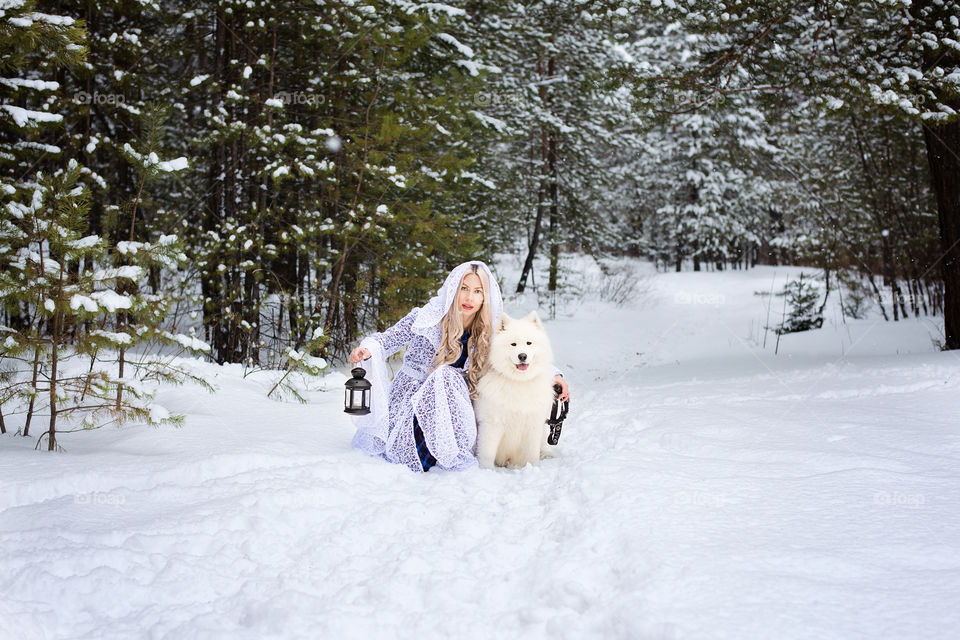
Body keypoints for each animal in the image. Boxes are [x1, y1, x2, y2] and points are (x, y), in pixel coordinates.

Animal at [472, 312, 556, 470]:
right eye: (513, 344)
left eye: (529, 343)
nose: (522, 356)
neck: (518, 382)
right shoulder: (492, 424)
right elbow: (487, 452)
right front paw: (487, 470)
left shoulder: (533, 424)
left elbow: (532, 453)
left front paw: (534, 467)